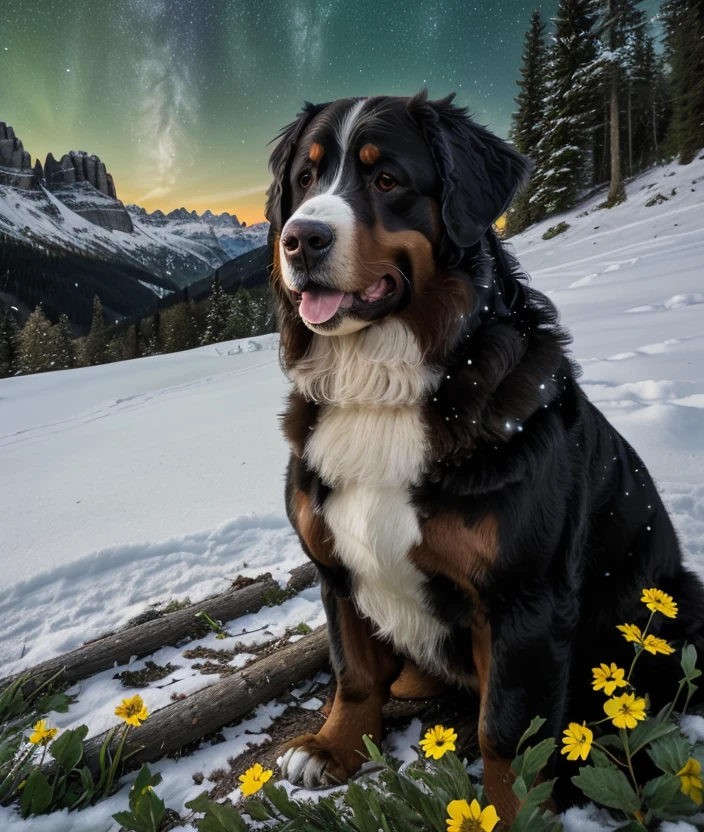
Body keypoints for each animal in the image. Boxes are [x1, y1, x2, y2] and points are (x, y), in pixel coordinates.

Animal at [264, 91, 704, 820]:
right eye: (305, 178)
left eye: (387, 180)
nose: (299, 239)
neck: (379, 390)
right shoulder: (334, 568)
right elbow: (353, 673)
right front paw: (333, 747)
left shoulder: (524, 600)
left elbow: (506, 730)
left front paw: (512, 812)